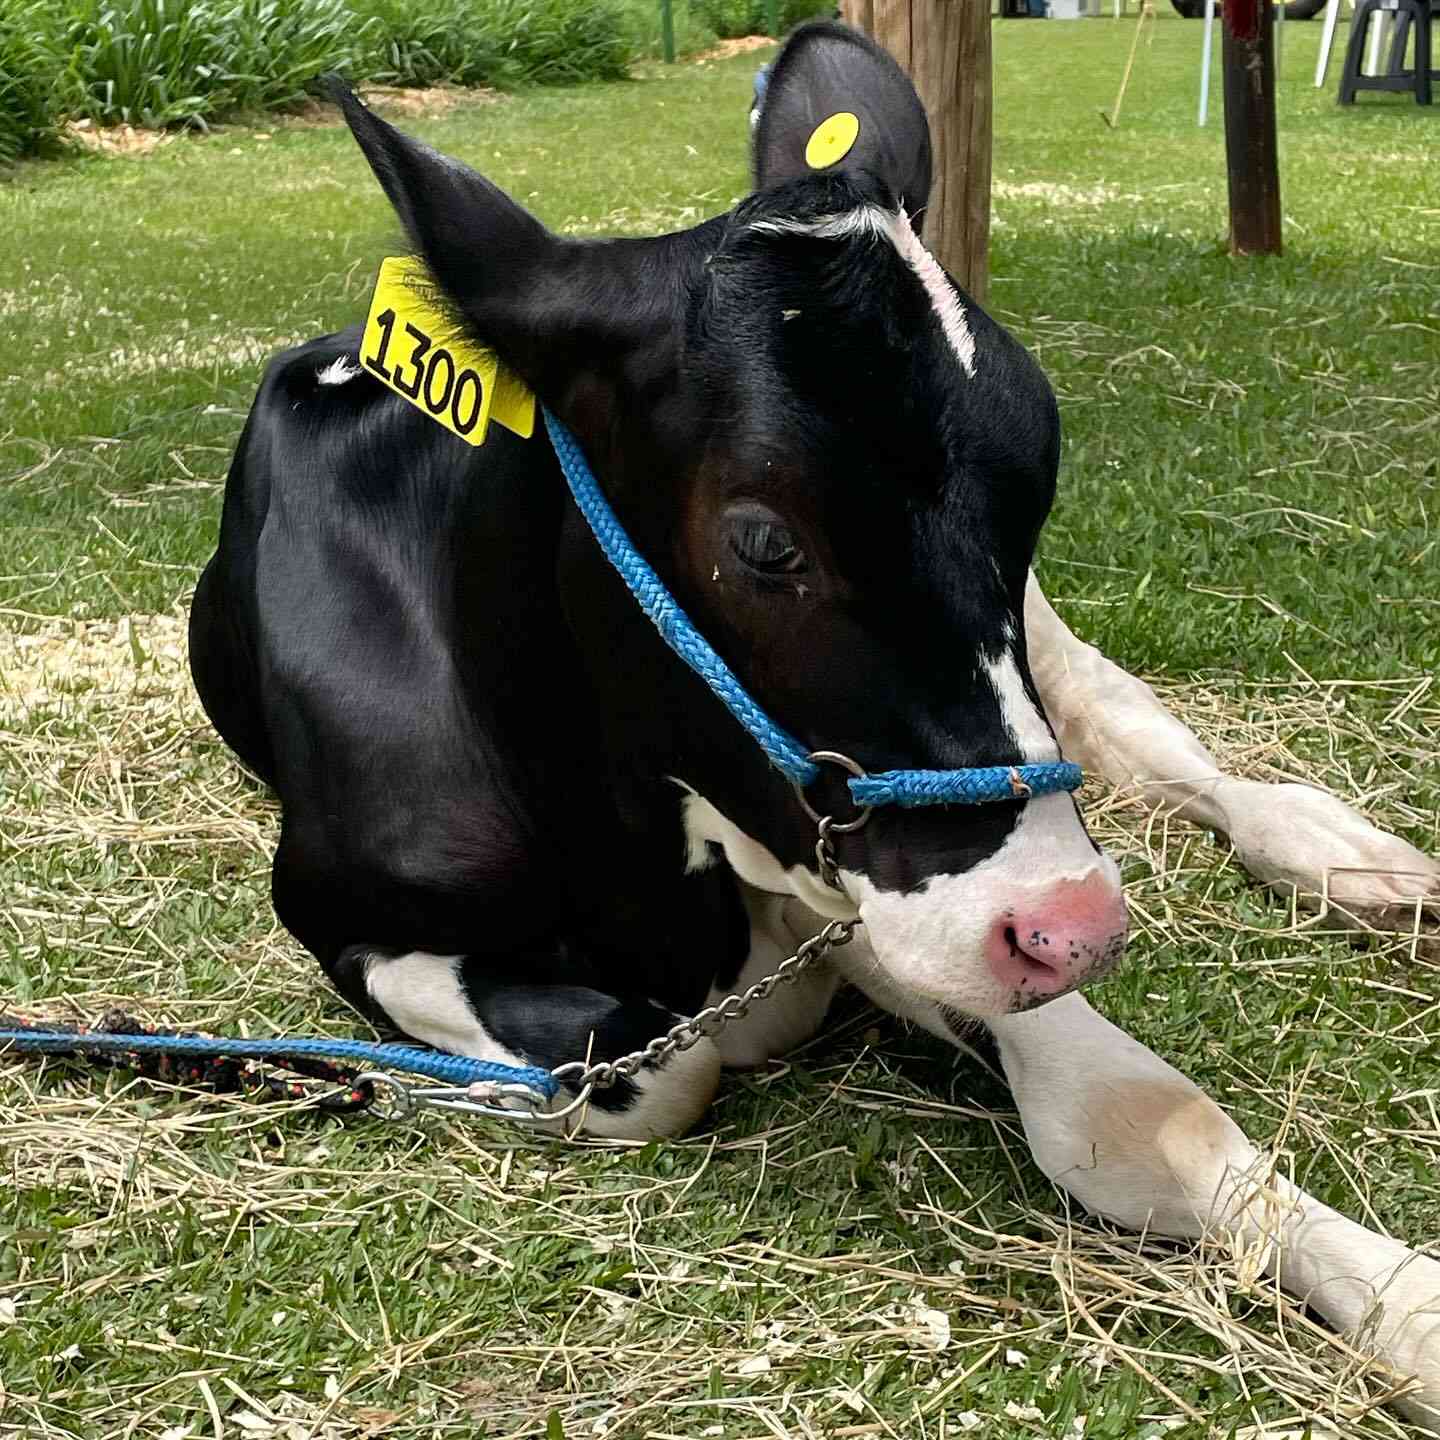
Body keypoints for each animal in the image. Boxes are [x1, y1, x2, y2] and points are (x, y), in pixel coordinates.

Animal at [188, 22, 1440, 1428]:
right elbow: (648, 1062)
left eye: (1037, 495)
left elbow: (1137, 1118)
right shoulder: (350, 920)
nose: (1071, 927)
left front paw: (1410, 1304)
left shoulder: (905, 891)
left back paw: (1350, 858)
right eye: (764, 539)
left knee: (1172, 756)